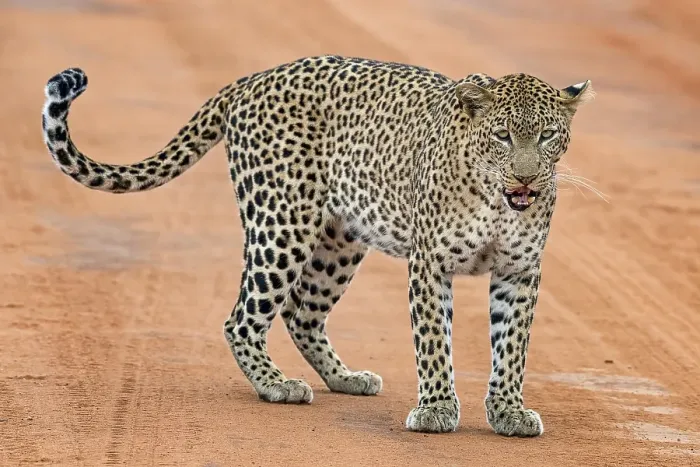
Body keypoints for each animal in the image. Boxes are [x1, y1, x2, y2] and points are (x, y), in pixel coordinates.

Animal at [41, 55, 594, 436]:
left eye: (548, 135)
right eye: (502, 136)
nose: (525, 177)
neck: (496, 200)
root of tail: (252, 79)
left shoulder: (520, 270)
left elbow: (513, 344)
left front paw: (508, 411)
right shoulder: (429, 263)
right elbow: (434, 340)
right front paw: (437, 408)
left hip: (339, 241)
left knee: (301, 313)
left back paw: (345, 378)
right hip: (281, 223)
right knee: (243, 318)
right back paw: (276, 385)